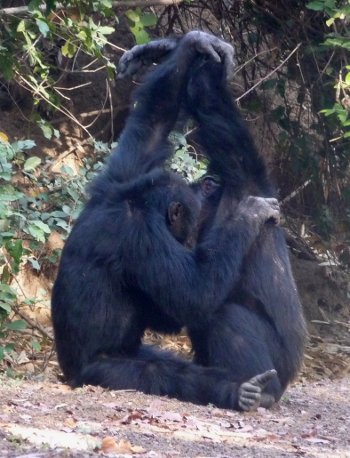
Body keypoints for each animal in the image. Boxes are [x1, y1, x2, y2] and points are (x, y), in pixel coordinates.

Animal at [52, 32, 282, 412]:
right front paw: (248, 214)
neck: (135, 202)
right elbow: (194, 293)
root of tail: (68, 372)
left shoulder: (115, 183)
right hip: (105, 372)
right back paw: (239, 391)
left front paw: (184, 47)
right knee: (167, 376)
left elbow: (150, 126)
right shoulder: (143, 239)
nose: (187, 240)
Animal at [125, 33, 306, 408]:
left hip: (278, 370)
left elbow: (213, 107)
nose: (194, 186)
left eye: (204, 184)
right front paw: (166, 48)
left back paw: (259, 392)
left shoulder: (242, 174)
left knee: (225, 315)